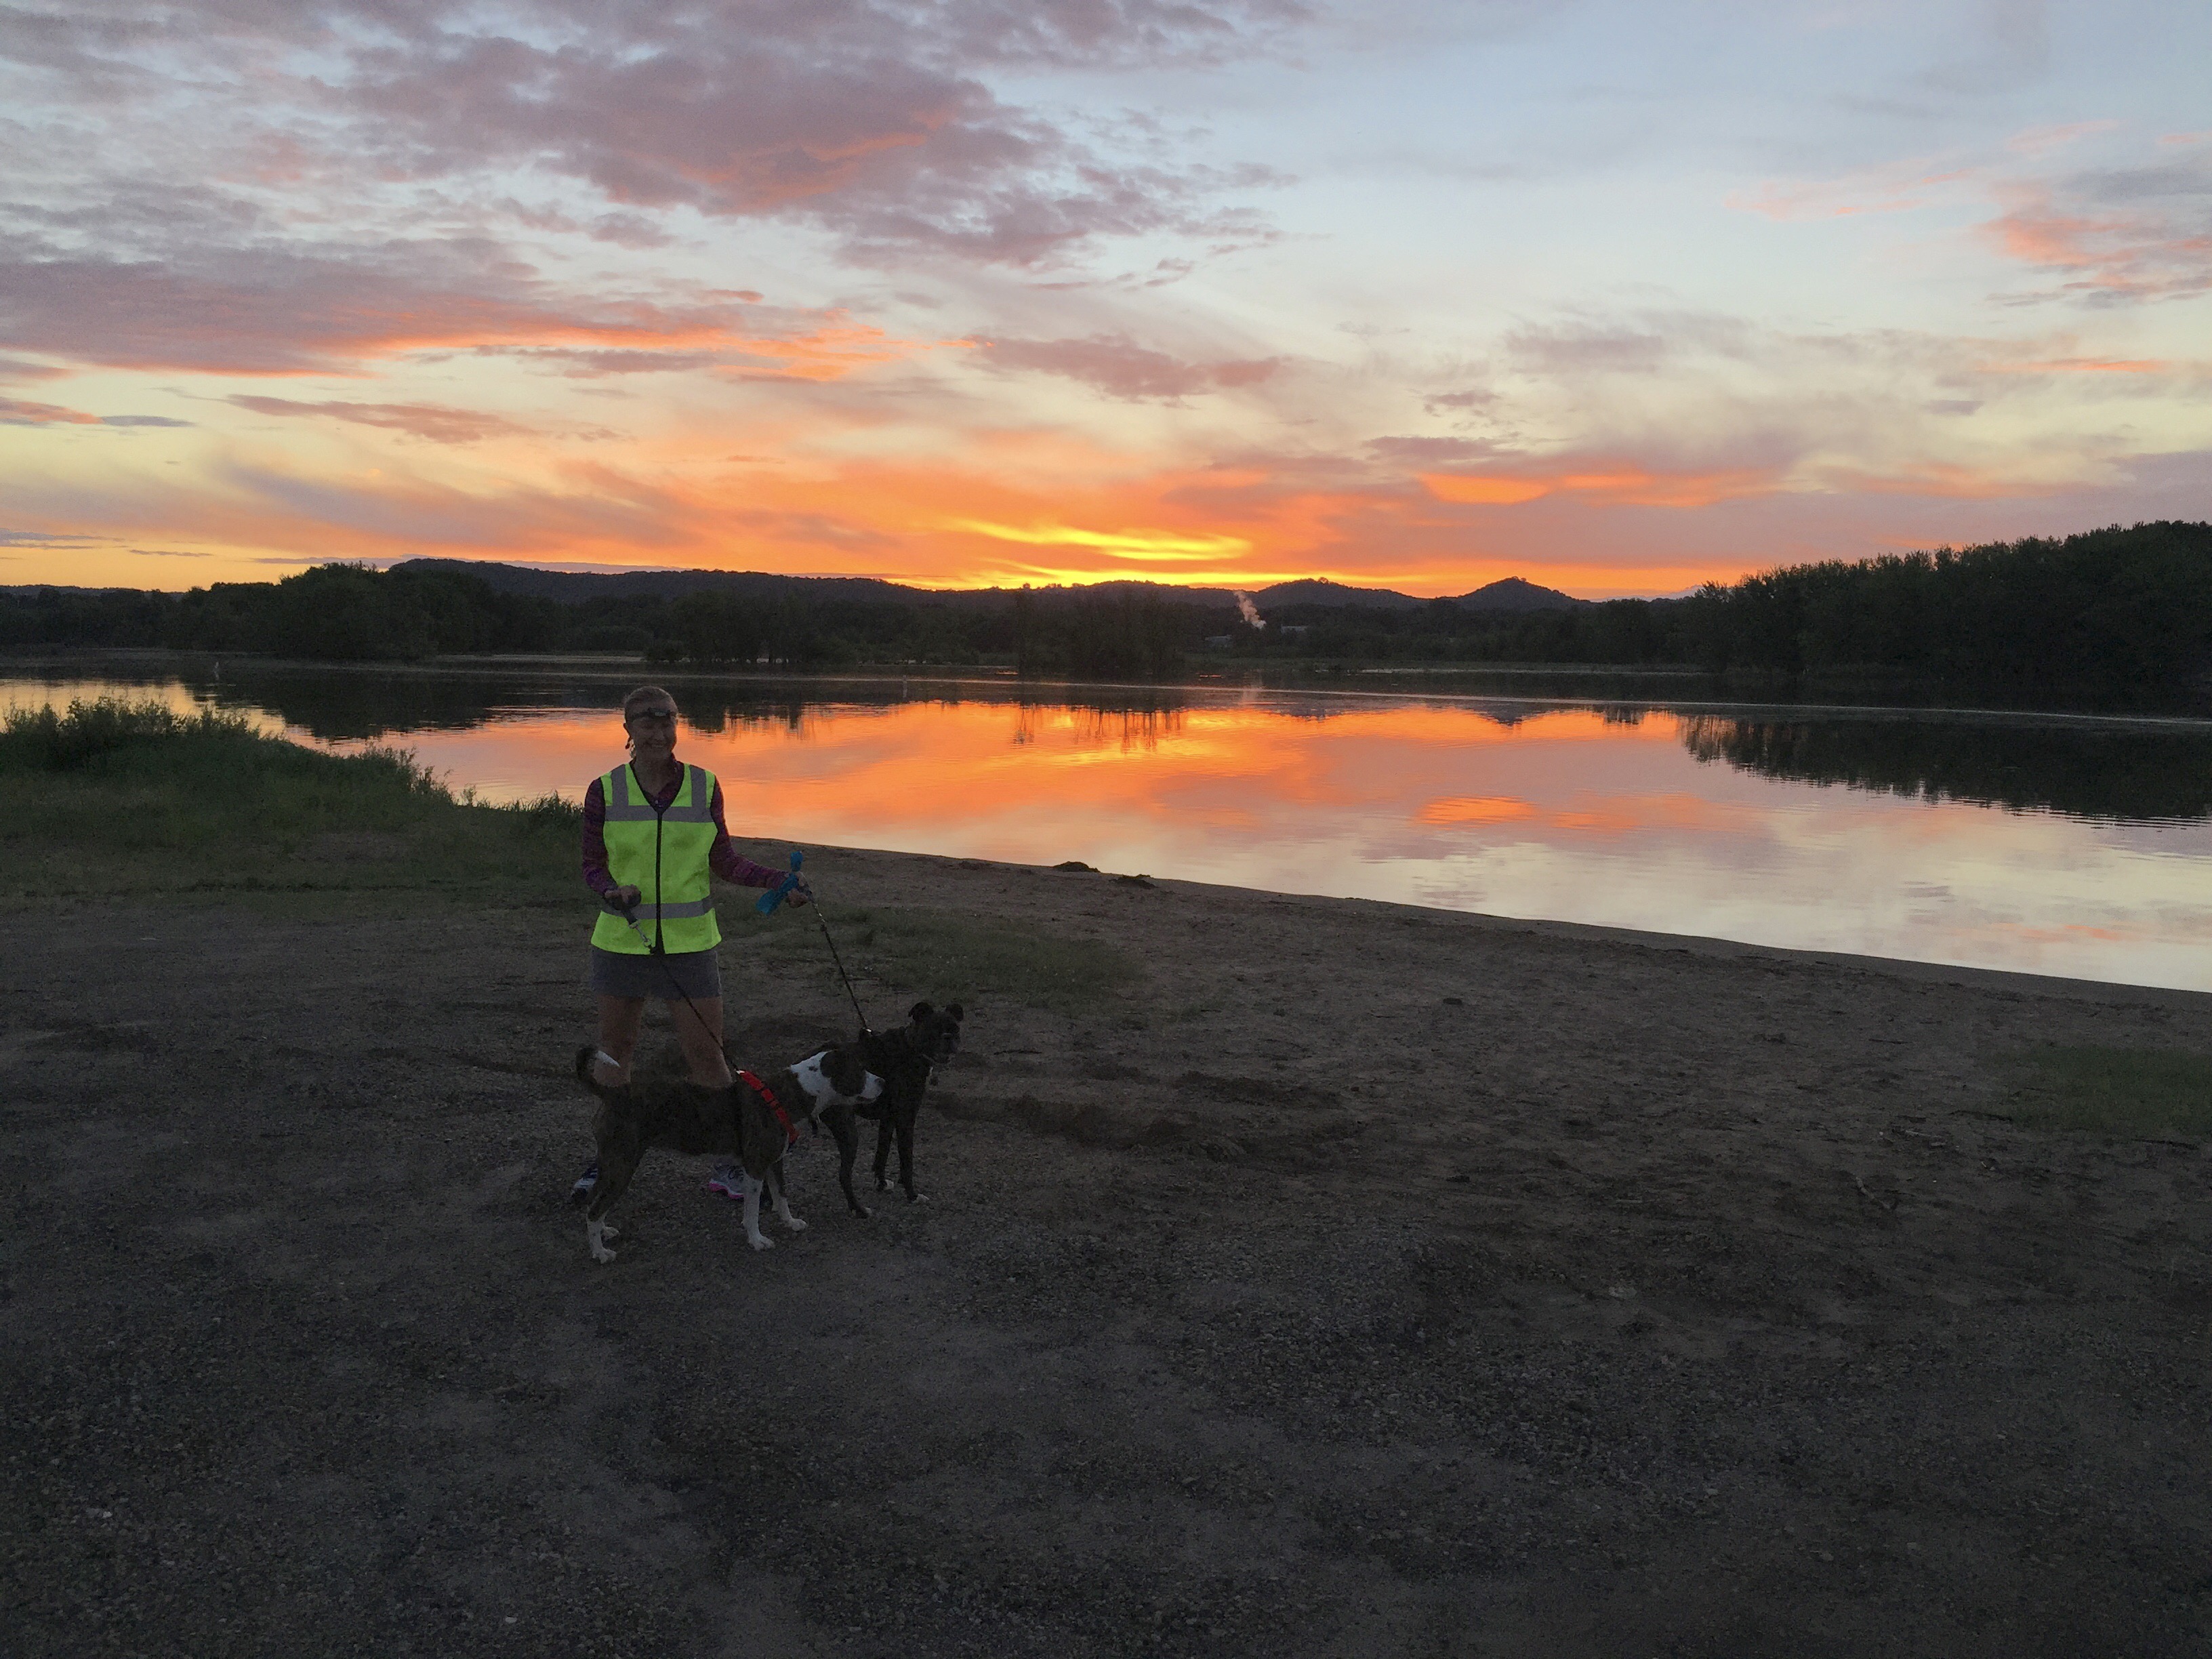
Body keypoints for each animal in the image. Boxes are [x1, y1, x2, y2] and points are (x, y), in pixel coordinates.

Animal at [570, 1042, 883, 1262]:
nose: (882, 1082)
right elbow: (753, 1209)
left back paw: (604, 1231)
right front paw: (757, 1240)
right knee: (595, 1208)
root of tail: (612, 1093)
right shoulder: (756, 1167)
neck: (788, 1094)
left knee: (594, 1201)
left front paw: (790, 1222)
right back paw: (600, 1253)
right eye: (860, 1070)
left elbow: (781, 1195)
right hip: (622, 1165)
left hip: (611, 1163)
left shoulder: (775, 1163)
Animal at [846, 1001, 964, 1210]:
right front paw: (912, 1195)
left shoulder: (889, 1119)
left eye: (955, 1028)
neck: (910, 1048)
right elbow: (907, 1161)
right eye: (933, 1028)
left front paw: (881, 1183)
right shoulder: (906, 1119)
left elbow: (882, 1153)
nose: (948, 1037)